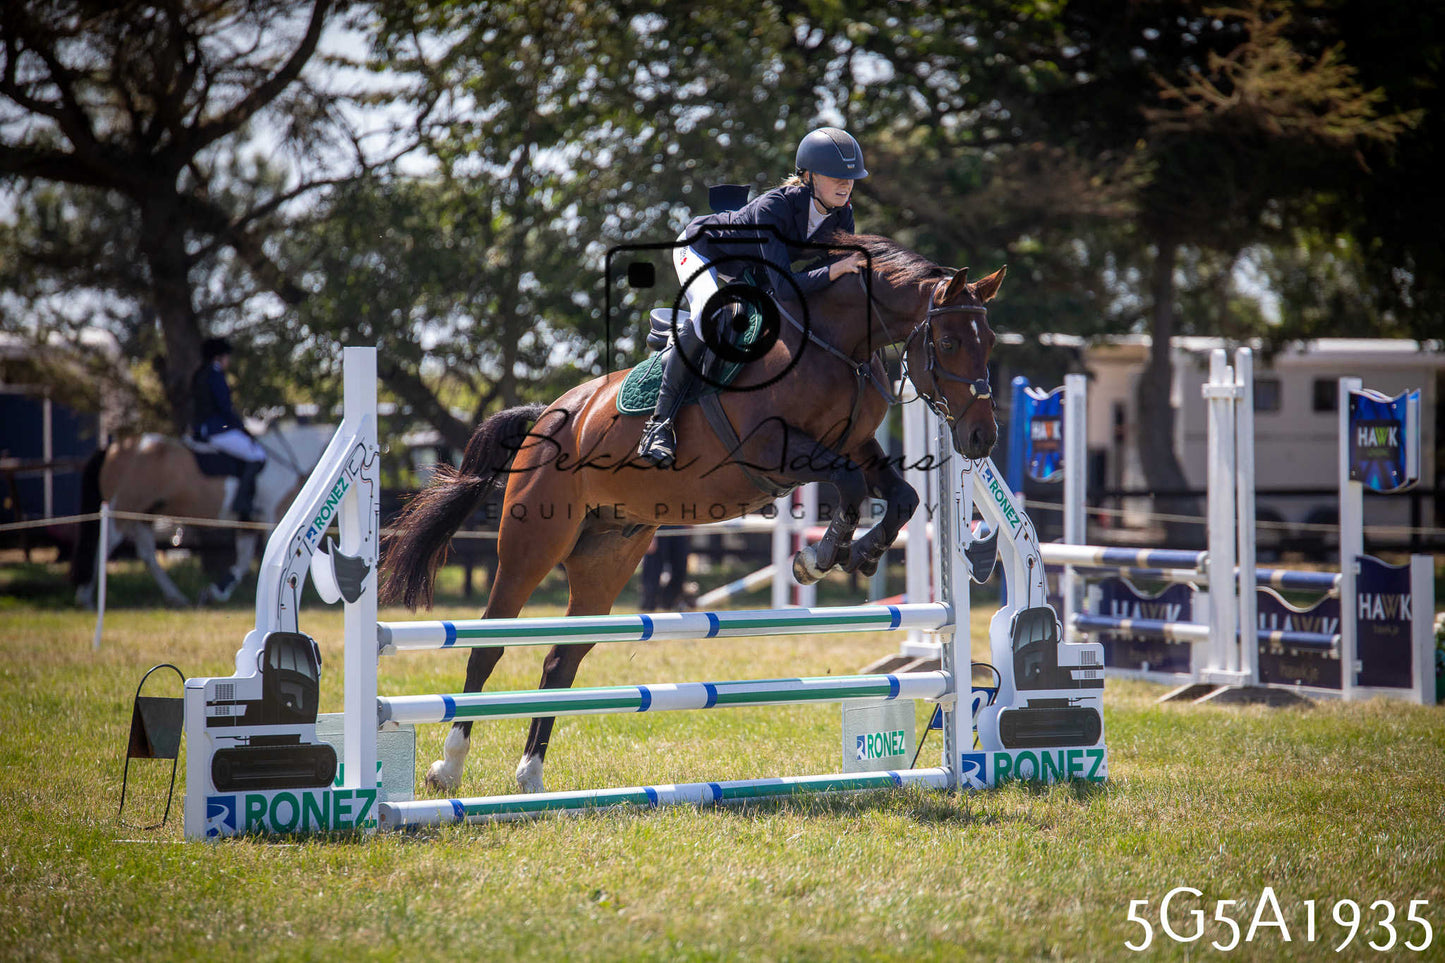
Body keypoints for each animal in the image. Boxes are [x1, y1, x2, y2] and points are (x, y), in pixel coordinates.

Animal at [70, 420, 335, 606]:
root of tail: (113, 447)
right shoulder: (273, 517)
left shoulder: (249, 522)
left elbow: (242, 561)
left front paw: (215, 592)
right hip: (123, 509)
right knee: (104, 546)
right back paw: (85, 597)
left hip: (142, 515)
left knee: (146, 554)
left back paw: (176, 597)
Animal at [381, 230, 1004, 795]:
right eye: (949, 342)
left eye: (990, 340)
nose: (981, 437)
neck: (835, 344)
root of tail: (551, 414)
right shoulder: (772, 449)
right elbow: (849, 486)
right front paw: (818, 559)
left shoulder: (856, 446)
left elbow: (901, 498)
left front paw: (863, 554)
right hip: (531, 543)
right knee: (487, 644)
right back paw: (447, 768)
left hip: (608, 558)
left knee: (561, 659)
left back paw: (530, 774)